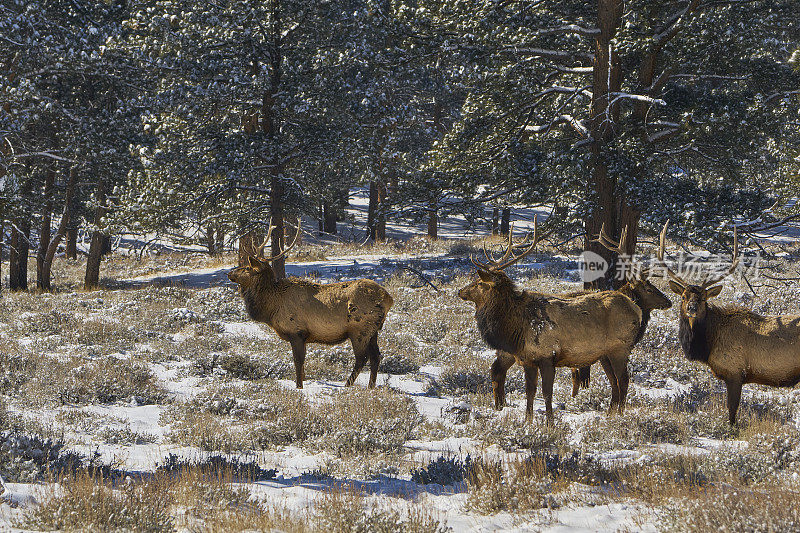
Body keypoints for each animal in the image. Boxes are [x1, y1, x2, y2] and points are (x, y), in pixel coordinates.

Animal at [228, 218, 394, 388]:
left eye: (247, 268)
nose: (230, 273)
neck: (271, 306)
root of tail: (388, 298)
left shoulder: (296, 331)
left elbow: (298, 362)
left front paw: (299, 387)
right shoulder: (304, 337)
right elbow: (302, 365)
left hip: (360, 329)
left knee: (362, 358)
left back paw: (347, 385)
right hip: (374, 331)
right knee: (376, 357)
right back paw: (370, 387)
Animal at [460, 218, 640, 422]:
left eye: (478, 283)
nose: (460, 291)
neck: (516, 328)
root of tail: (636, 308)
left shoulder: (547, 356)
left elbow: (547, 393)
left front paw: (550, 423)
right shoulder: (528, 359)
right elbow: (530, 392)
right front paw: (528, 421)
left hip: (620, 348)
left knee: (623, 380)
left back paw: (620, 416)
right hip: (605, 354)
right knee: (614, 382)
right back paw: (610, 415)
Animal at [656, 220, 800, 424]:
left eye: (703, 298)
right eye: (683, 296)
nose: (691, 308)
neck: (708, 344)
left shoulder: (735, 372)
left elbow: (732, 413)